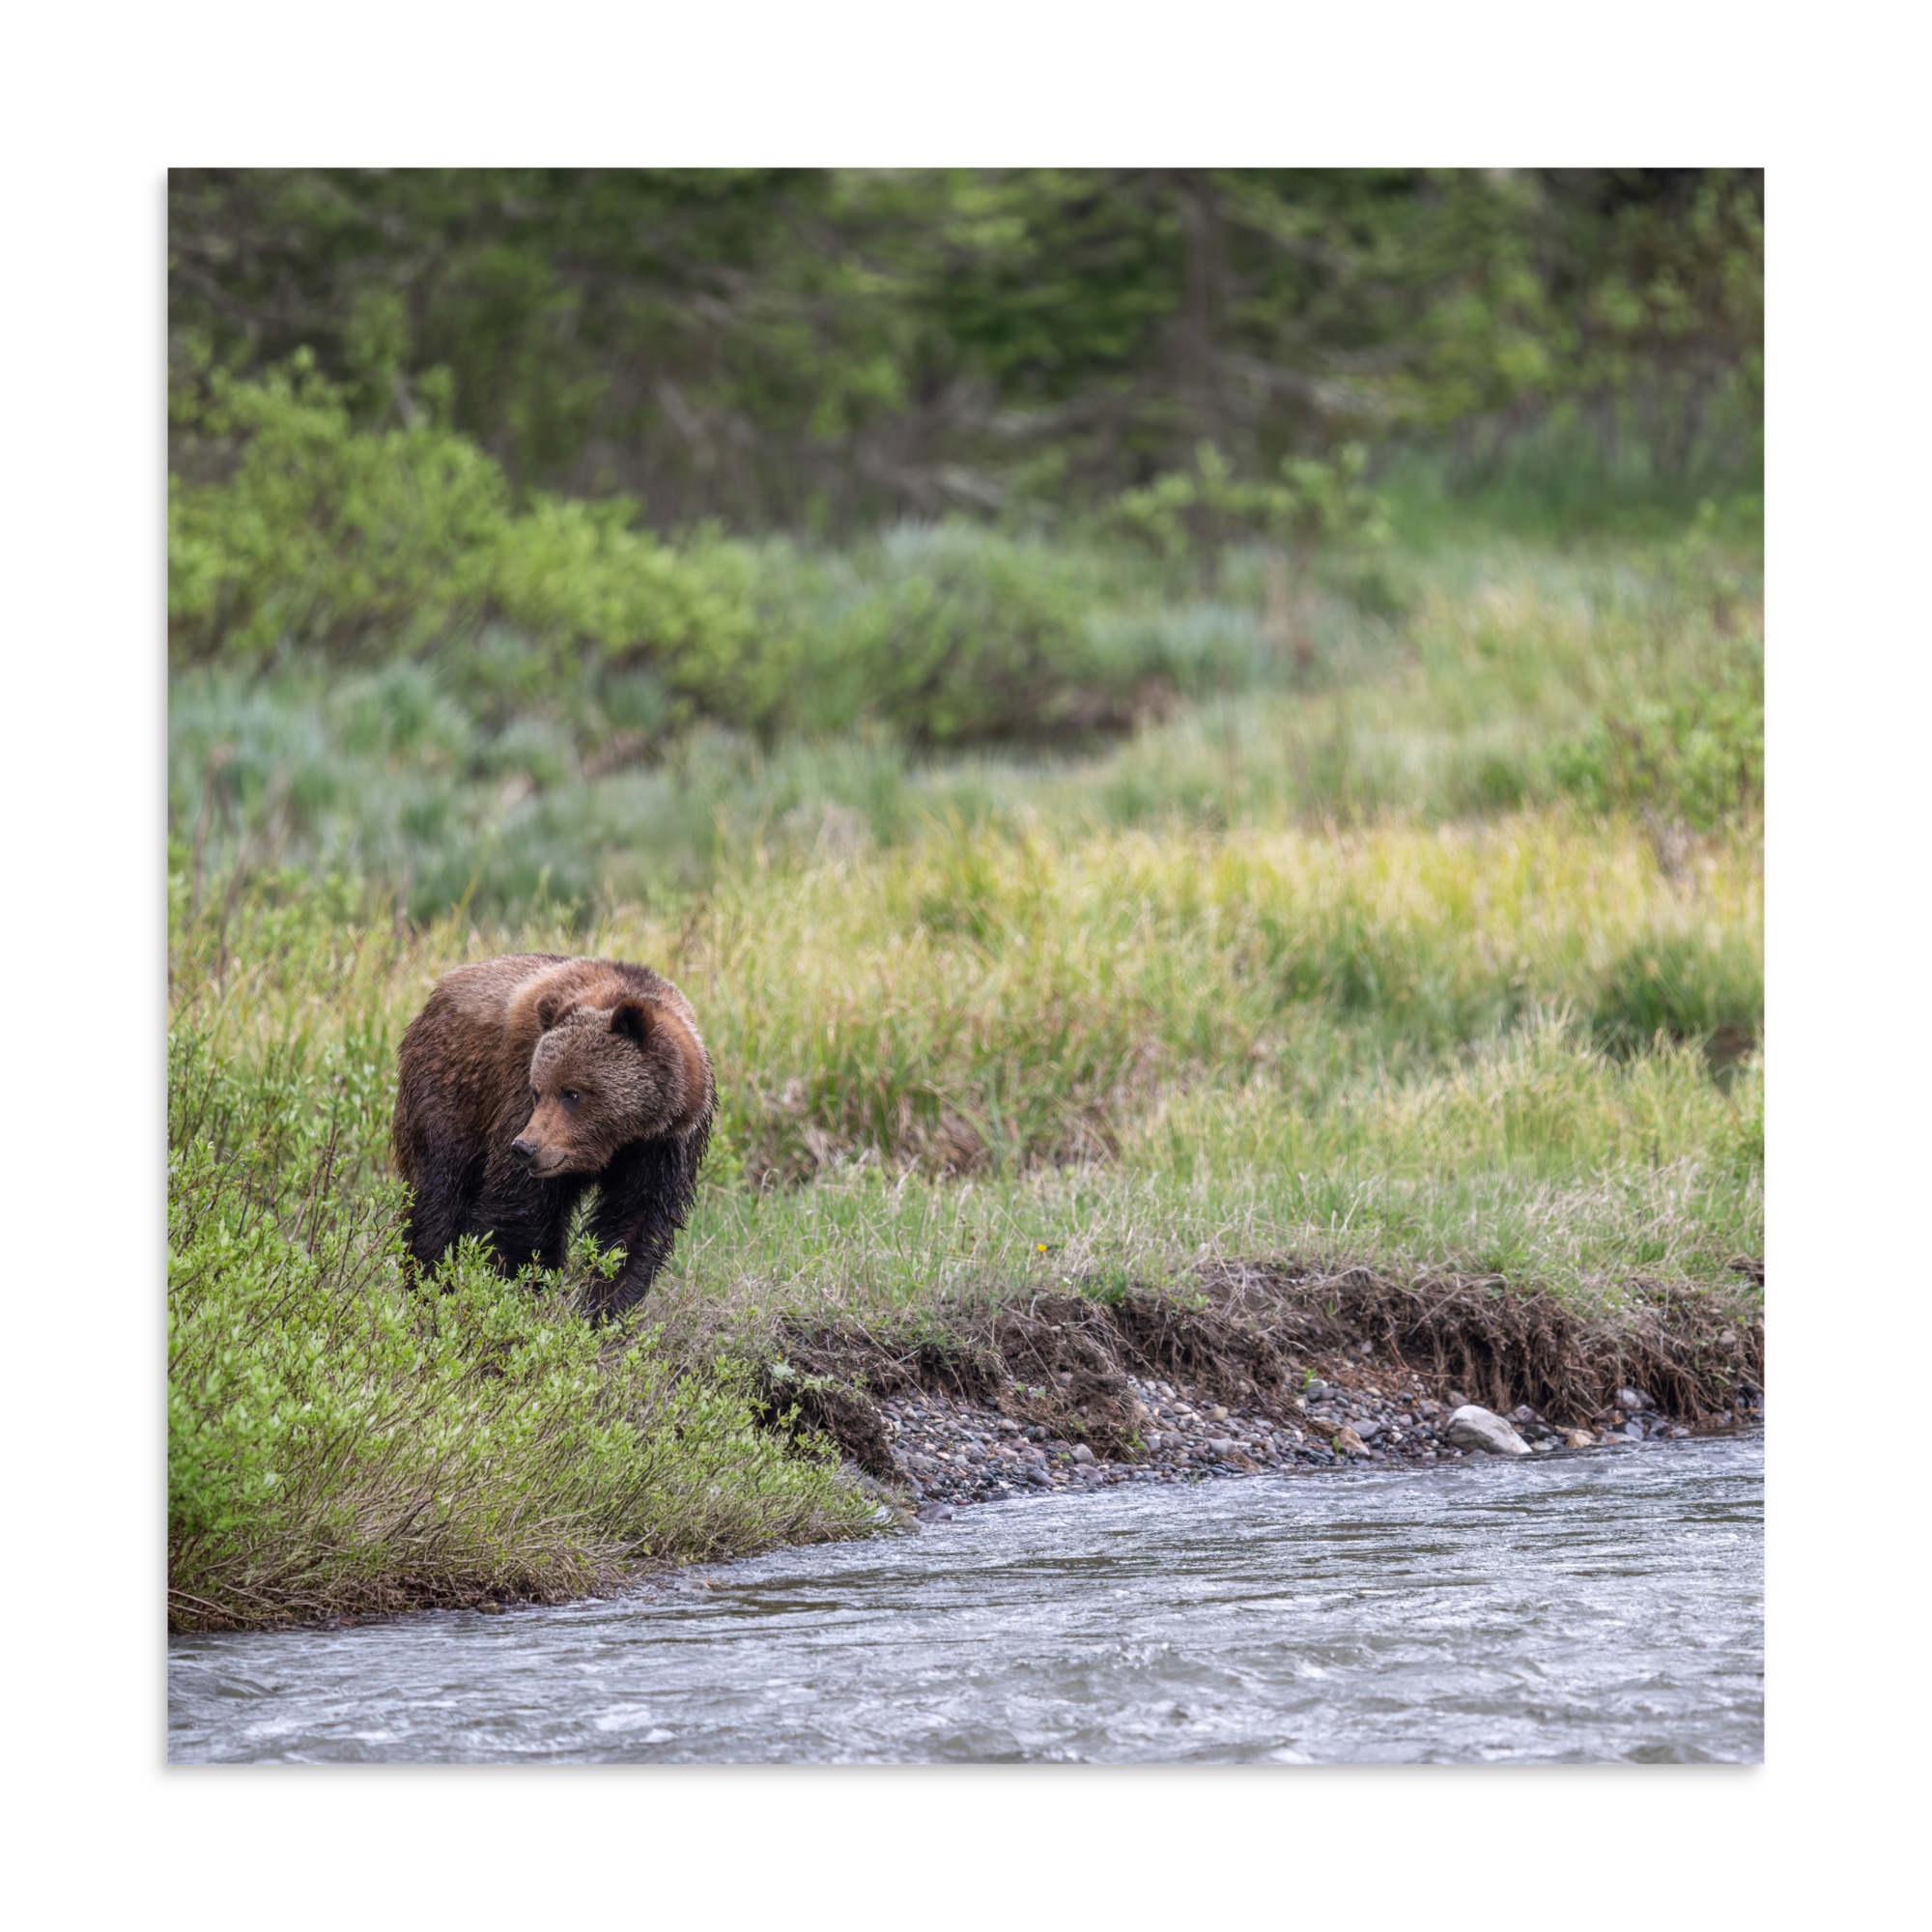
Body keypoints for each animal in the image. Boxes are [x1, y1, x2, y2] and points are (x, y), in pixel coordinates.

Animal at [391, 953, 714, 1321]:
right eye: (538, 1090)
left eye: (572, 1093)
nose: (525, 1148)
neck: (620, 1139)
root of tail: (438, 992)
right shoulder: (517, 1095)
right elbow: (521, 1213)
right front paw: (516, 1293)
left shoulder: (664, 1146)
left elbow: (634, 1226)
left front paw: (604, 1307)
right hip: (452, 1089)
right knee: (439, 1193)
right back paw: (429, 1287)